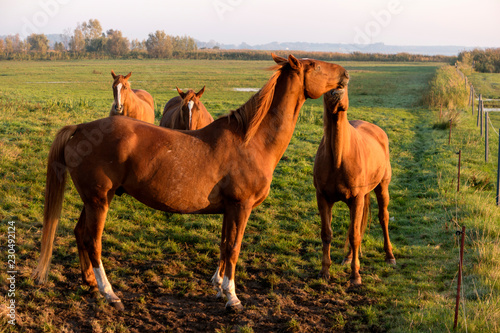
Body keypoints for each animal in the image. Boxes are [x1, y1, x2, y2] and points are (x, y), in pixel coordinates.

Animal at [33, 54, 350, 312]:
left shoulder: (230, 209)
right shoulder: (241, 207)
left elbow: (224, 245)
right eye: (315, 65)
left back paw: (90, 283)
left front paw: (220, 286)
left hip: (94, 200)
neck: (252, 141)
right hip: (99, 201)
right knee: (93, 241)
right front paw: (233, 298)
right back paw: (110, 293)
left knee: (80, 234)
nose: (345, 73)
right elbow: (234, 248)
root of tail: (80, 129)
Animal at [312, 83, 398, 286]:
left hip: (381, 189)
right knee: (355, 227)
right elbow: (327, 234)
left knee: (383, 218)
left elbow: (354, 236)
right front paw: (324, 272)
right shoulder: (323, 198)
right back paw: (349, 257)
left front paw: (355, 277)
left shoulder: (357, 198)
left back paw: (389, 256)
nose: (335, 94)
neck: (338, 157)